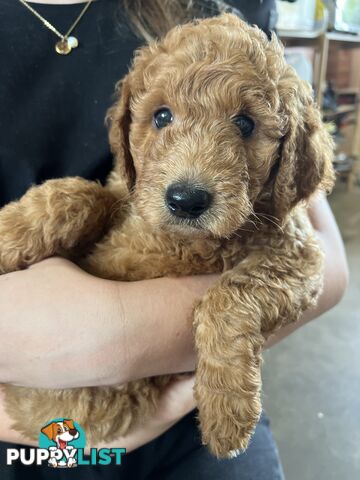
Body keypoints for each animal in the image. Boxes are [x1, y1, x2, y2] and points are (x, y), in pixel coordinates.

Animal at [0, 13, 334, 460]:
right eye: (161, 117)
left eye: (245, 124)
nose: (186, 200)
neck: (180, 239)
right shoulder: (129, 189)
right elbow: (82, 194)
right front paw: (9, 233)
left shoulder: (298, 255)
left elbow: (231, 296)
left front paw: (227, 408)